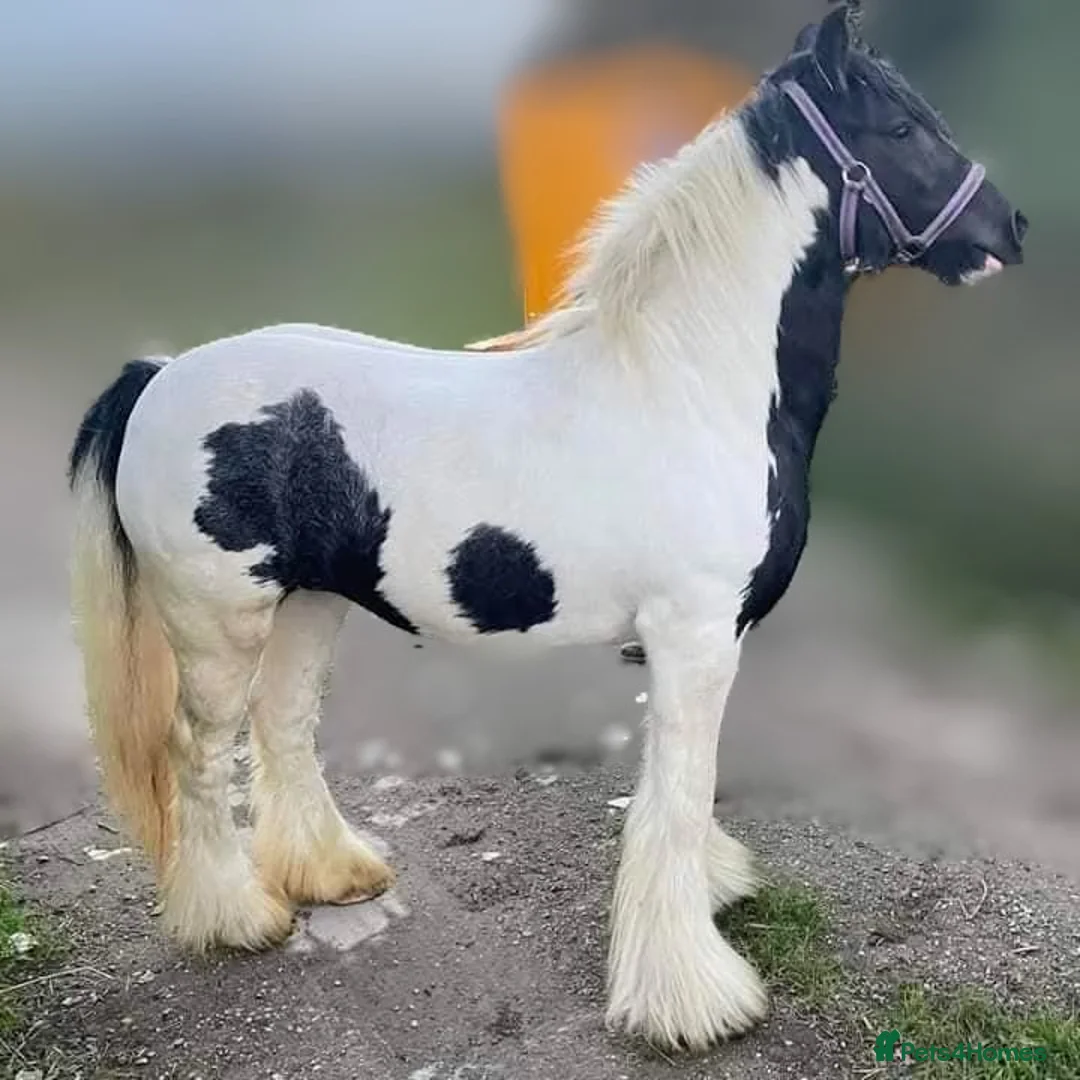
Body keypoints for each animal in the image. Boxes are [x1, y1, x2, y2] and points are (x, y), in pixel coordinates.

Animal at [67, 3, 1026, 1053]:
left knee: (282, 729)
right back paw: (234, 919)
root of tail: (161, 373)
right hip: (218, 624)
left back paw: (333, 874)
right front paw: (691, 1001)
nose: (1008, 229)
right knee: (198, 755)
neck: (691, 386)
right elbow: (677, 797)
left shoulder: (687, 642)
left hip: (310, 603)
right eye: (898, 129)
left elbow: (674, 788)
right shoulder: (696, 636)